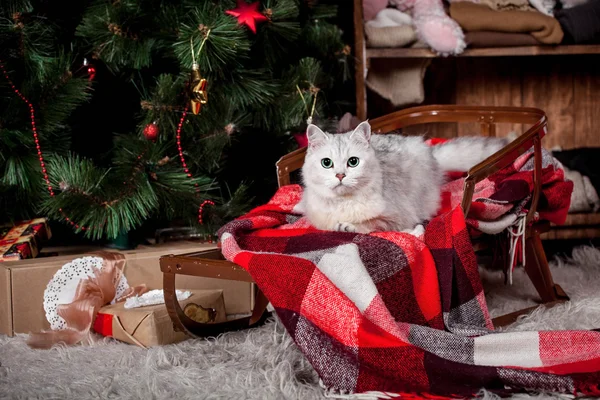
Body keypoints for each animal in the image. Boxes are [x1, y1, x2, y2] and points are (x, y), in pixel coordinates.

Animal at [298, 122, 506, 234]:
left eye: (353, 162)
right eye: (326, 163)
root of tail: (430, 152)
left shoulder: (396, 217)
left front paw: (348, 226)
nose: (340, 175)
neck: (343, 202)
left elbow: (371, 223)